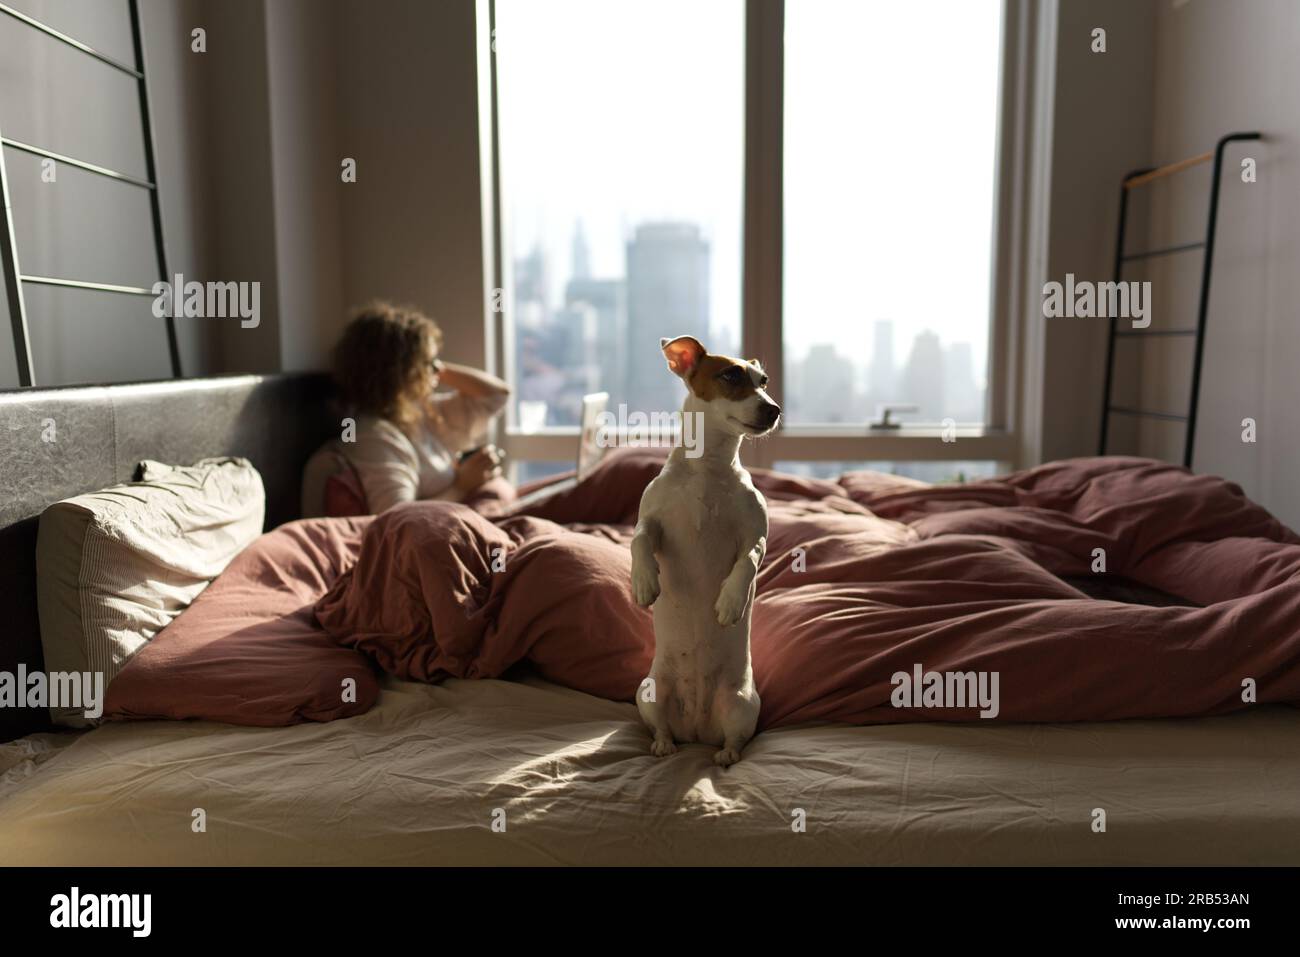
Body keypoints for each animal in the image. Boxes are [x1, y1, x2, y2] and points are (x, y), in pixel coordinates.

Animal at [631, 332, 780, 764]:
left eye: (763, 381)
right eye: (730, 376)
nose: (774, 410)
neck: (707, 470)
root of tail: (696, 729)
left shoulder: (755, 534)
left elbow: (748, 560)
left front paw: (730, 602)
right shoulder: (652, 521)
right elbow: (639, 539)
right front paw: (644, 583)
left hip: (743, 704)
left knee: (736, 739)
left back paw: (727, 755)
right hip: (648, 694)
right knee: (661, 726)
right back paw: (663, 744)